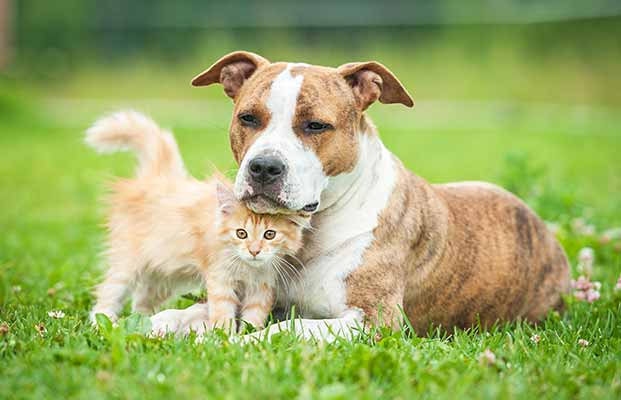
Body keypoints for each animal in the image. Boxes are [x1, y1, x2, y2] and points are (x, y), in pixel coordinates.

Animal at [86, 109, 306, 332]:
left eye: (269, 235)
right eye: (241, 233)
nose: (254, 251)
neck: (248, 267)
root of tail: (157, 177)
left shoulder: (262, 286)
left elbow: (253, 317)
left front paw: (248, 335)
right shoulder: (219, 278)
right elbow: (223, 312)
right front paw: (224, 335)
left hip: (161, 274)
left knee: (141, 302)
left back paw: (144, 322)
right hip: (127, 262)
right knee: (108, 293)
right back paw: (101, 323)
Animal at [148, 50, 568, 340]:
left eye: (316, 125)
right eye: (247, 118)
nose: (264, 167)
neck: (310, 230)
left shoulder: (372, 321)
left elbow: (288, 328)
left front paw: (241, 344)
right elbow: (182, 314)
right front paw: (158, 323)